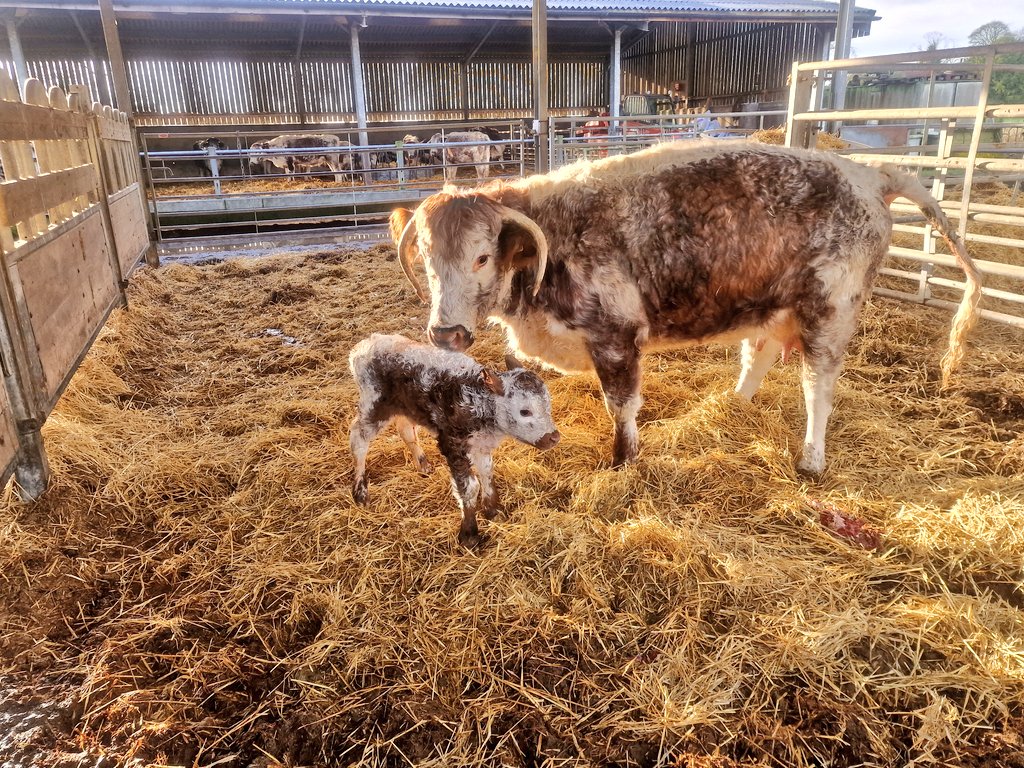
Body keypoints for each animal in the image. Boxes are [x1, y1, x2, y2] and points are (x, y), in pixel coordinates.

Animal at [348, 333, 560, 546]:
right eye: (525, 411)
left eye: (548, 404)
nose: (554, 437)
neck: (479, 402)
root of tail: (364, 345)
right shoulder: (453, 444)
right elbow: (470, 487)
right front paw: (469, 535)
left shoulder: (481, 445)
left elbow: (487, 473)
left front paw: (494, 511)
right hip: (375, 403)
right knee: (358, 437)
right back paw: (360, 492)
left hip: (404, 405)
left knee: (405, 429)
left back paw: (423, 464)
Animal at [390, 140, 983, 476]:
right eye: (426, 258)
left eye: (482, 256)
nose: (446, 334)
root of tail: (868, 173)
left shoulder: (616, 338)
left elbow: (622, 407)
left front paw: (622, 462)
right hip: (773, 307)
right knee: (759, 356)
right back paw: (732, 406)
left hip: (829, 313)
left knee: (818, 388)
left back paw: (811, 460)